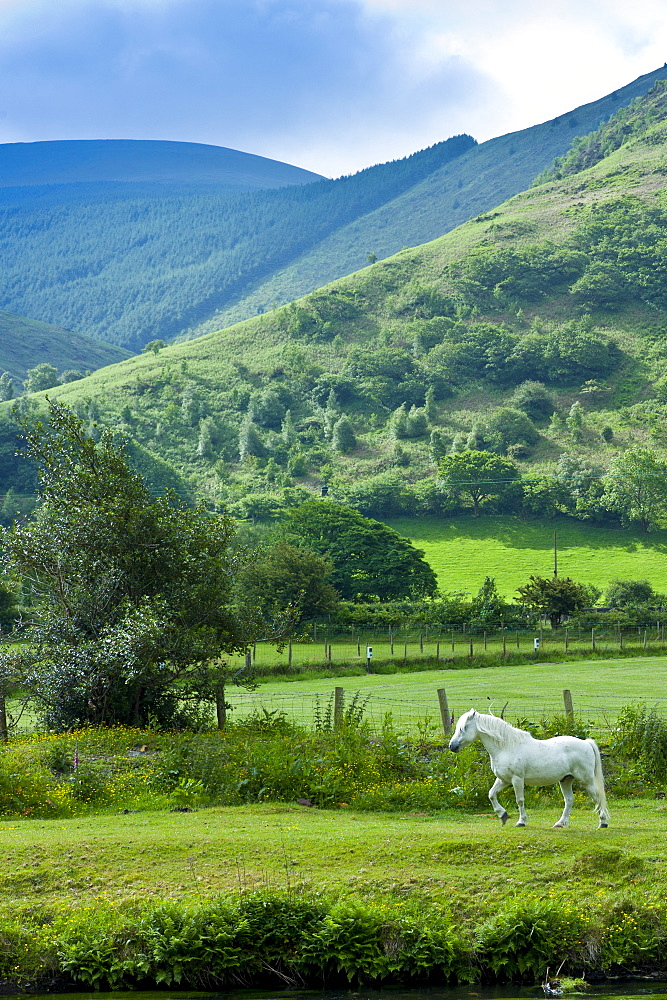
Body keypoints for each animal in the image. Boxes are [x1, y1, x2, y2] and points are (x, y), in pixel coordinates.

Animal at [448, 712, 612, 828]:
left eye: (463, 728)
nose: (452, 746)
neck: (506, 747)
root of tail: (586, 743)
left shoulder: (517, 779)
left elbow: (519, 800)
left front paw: (521, 822)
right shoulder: (503, 780)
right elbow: (491, 794)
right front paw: (503, 815)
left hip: (586, 780)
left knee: (598, 797)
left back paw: (603, 823)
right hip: (566, 780)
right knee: (569, 800)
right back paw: (560, 823)